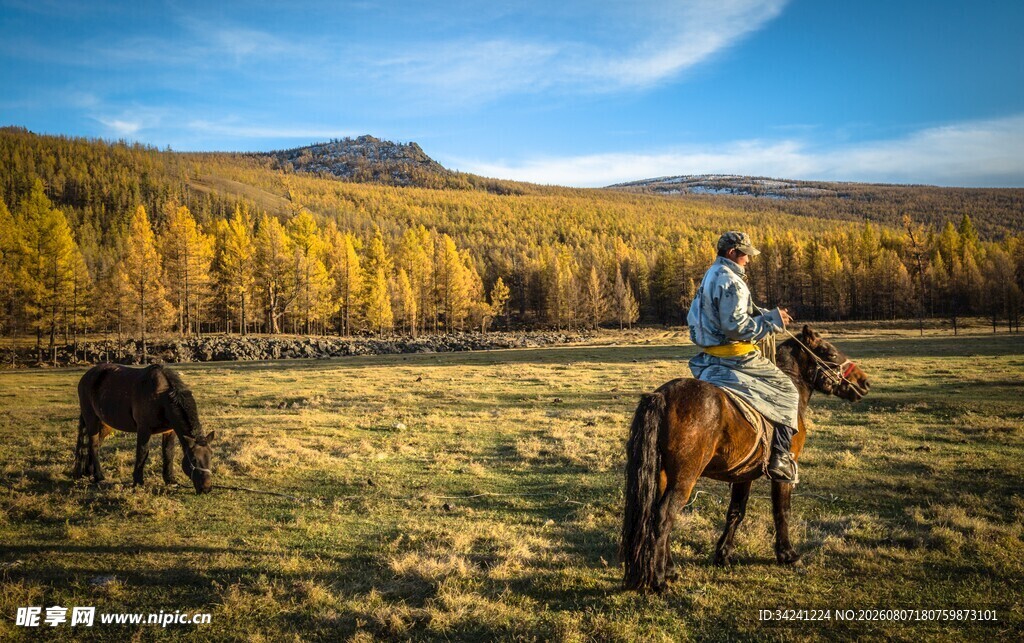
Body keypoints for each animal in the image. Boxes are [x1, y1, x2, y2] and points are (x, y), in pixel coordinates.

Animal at [73, 363, 215, 494]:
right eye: (194, 459)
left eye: (211, 457)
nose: (206, 488)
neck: (161, 397)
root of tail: (86, 376)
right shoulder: (144, 429)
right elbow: (142, 453)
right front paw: (138, 481)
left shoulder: (169, 431)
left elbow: (168, 453)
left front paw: (170, 480)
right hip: (91, 420)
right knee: (93, 446)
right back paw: (99, 476)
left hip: (105, 425)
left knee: (94, 446)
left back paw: (90, 472)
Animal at [620, 325, 871, 592]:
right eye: (829, 353)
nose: (864, 382)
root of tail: (663, 395)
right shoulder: (783, 475)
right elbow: (782, 511)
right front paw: (787, 554)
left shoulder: (743, 475)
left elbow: (736, 512)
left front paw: (723, 554)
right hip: (684, 477)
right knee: (664, 517)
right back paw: (658, 580)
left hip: (664, 475)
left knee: (657, 514)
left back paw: (669, 569)